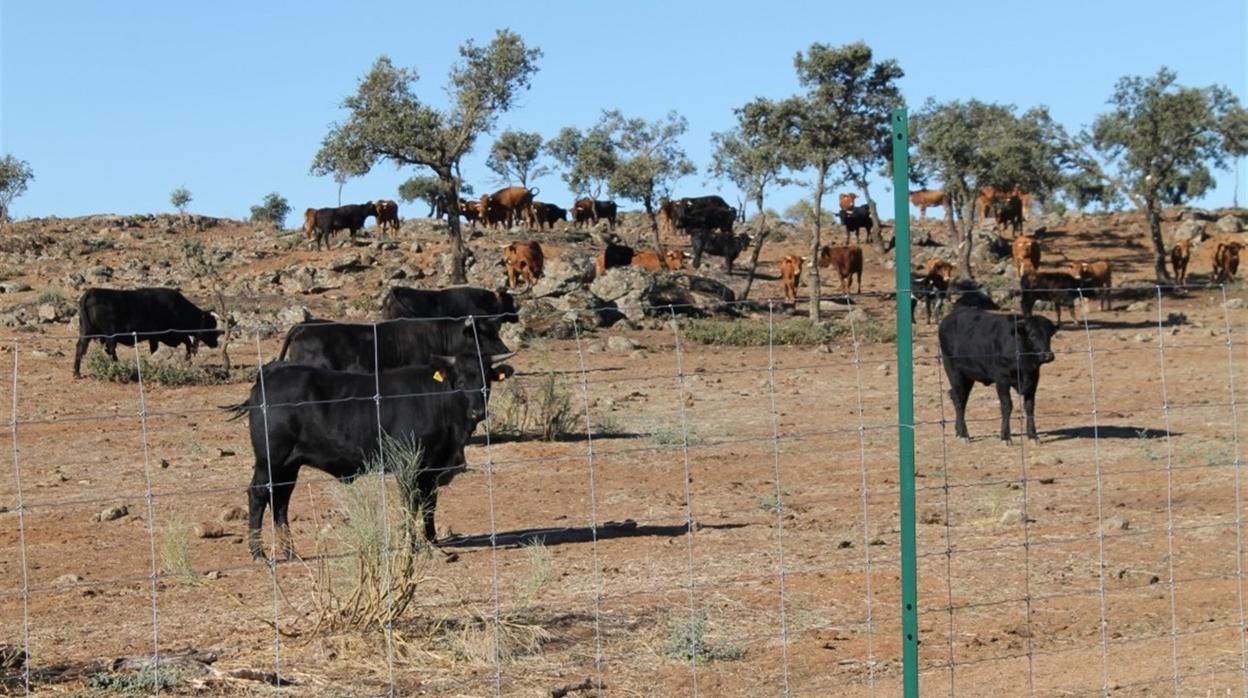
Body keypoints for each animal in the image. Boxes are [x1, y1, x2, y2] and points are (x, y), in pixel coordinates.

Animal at [74, 288, 223, 379]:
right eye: (211, 324)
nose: (216, 343)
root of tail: (91, 291)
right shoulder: (168, 334)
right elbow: (187, 342)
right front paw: (187, 359)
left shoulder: (157, 337)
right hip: (110, 335)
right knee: (110, 350)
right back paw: (118, 367)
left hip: (86, 333)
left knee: (81, 348)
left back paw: (76, 372)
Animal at [228, 354, 511, 561]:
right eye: (460, 382)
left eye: (487, 382)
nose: (477, 412)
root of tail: (269, 375)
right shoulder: (408, 466)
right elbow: (410, 505)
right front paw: (410, 545)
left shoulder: (431, 470)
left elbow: (429, 507)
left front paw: (433, 544)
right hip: (270, 460)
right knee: (258, 495)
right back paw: (258, 553)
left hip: (289, 465)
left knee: (281, 500)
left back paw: (290, 552)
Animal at [938, 307, 1058, 442]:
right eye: (1033, 335)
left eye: (1049, 335)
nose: (1048, 356)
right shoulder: (1002, 379)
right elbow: (1007, 406)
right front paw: (1005, 436)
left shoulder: (1033, 378)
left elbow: (1029, 406)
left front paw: (1032, 435)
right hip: (954, 371)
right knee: (959, 400)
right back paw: (963, 434)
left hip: (968, 377)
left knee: (958, 397)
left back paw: (958, 431)